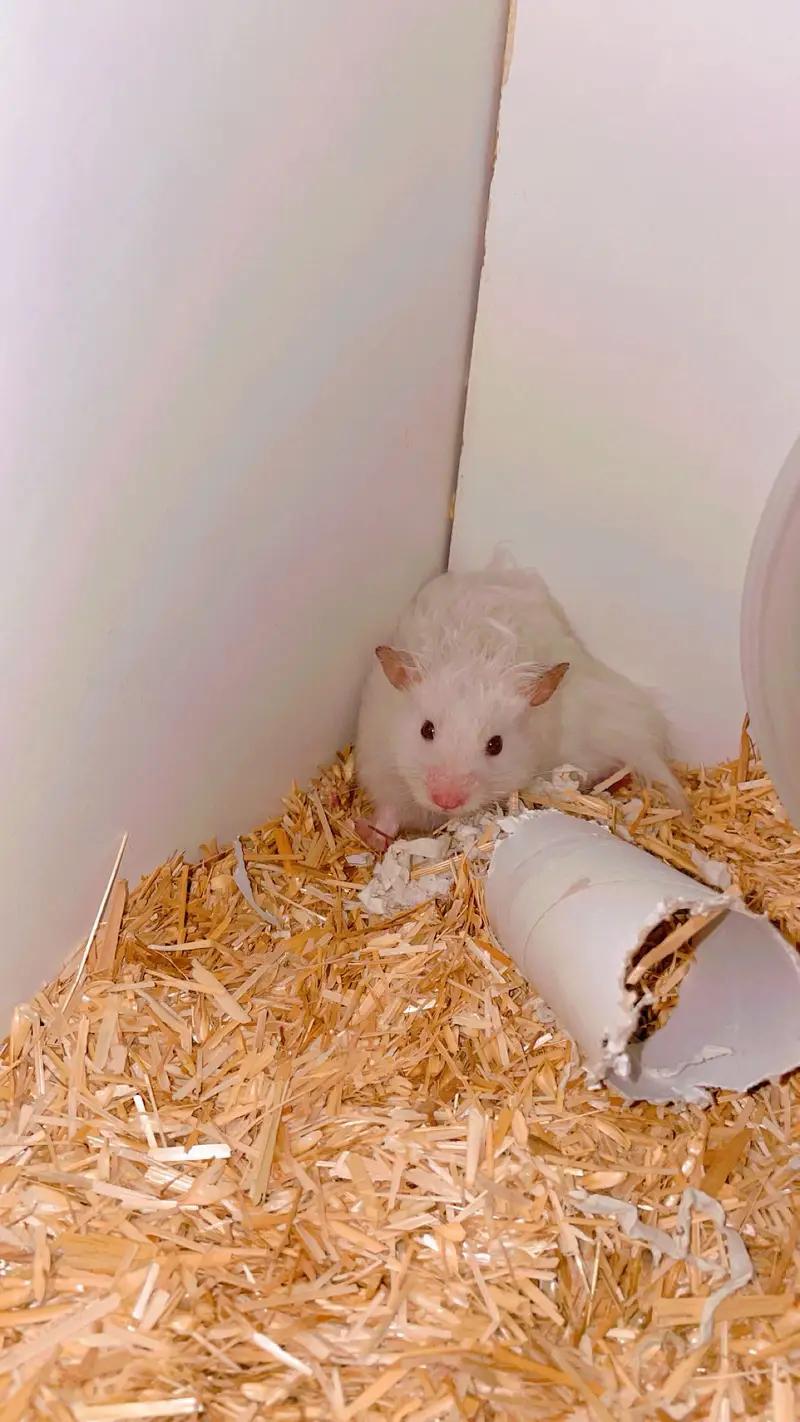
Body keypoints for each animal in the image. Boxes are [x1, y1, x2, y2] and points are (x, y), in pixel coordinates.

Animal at [355, 554, 686, 848]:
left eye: (495, 745)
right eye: (426, 730)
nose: (446, 800)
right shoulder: (380, 763)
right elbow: (389, 811)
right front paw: (371, 836)